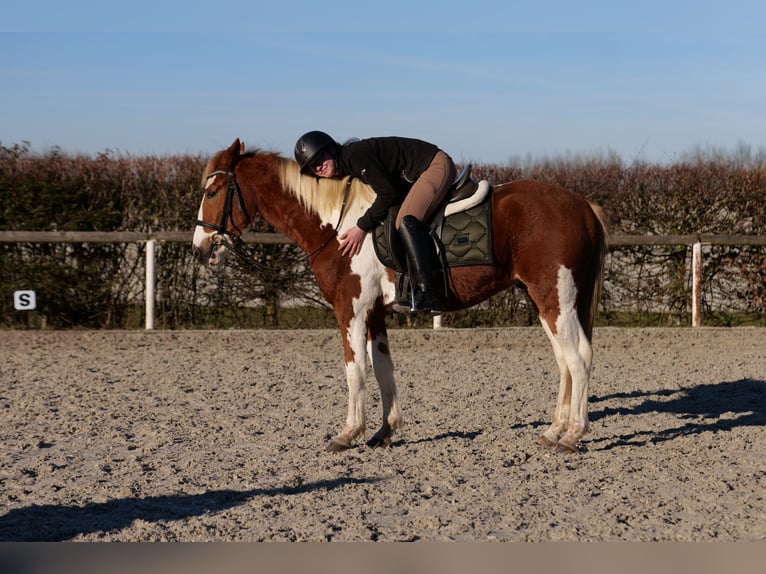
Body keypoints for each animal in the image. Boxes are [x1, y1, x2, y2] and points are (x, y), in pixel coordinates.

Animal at [195, 138, 608, 454]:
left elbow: (354, 370)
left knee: (579, 358)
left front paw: (347, 433)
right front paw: (384, 430)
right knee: (564, 360)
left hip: (555, 297)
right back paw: (554, 430)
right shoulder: (374, 313)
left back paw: (573, 435)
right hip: (544, 300)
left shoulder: (350, 309)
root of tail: (581, 204)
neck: (336, 224)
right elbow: (382, 369)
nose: (201, 249)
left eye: (213, 192)